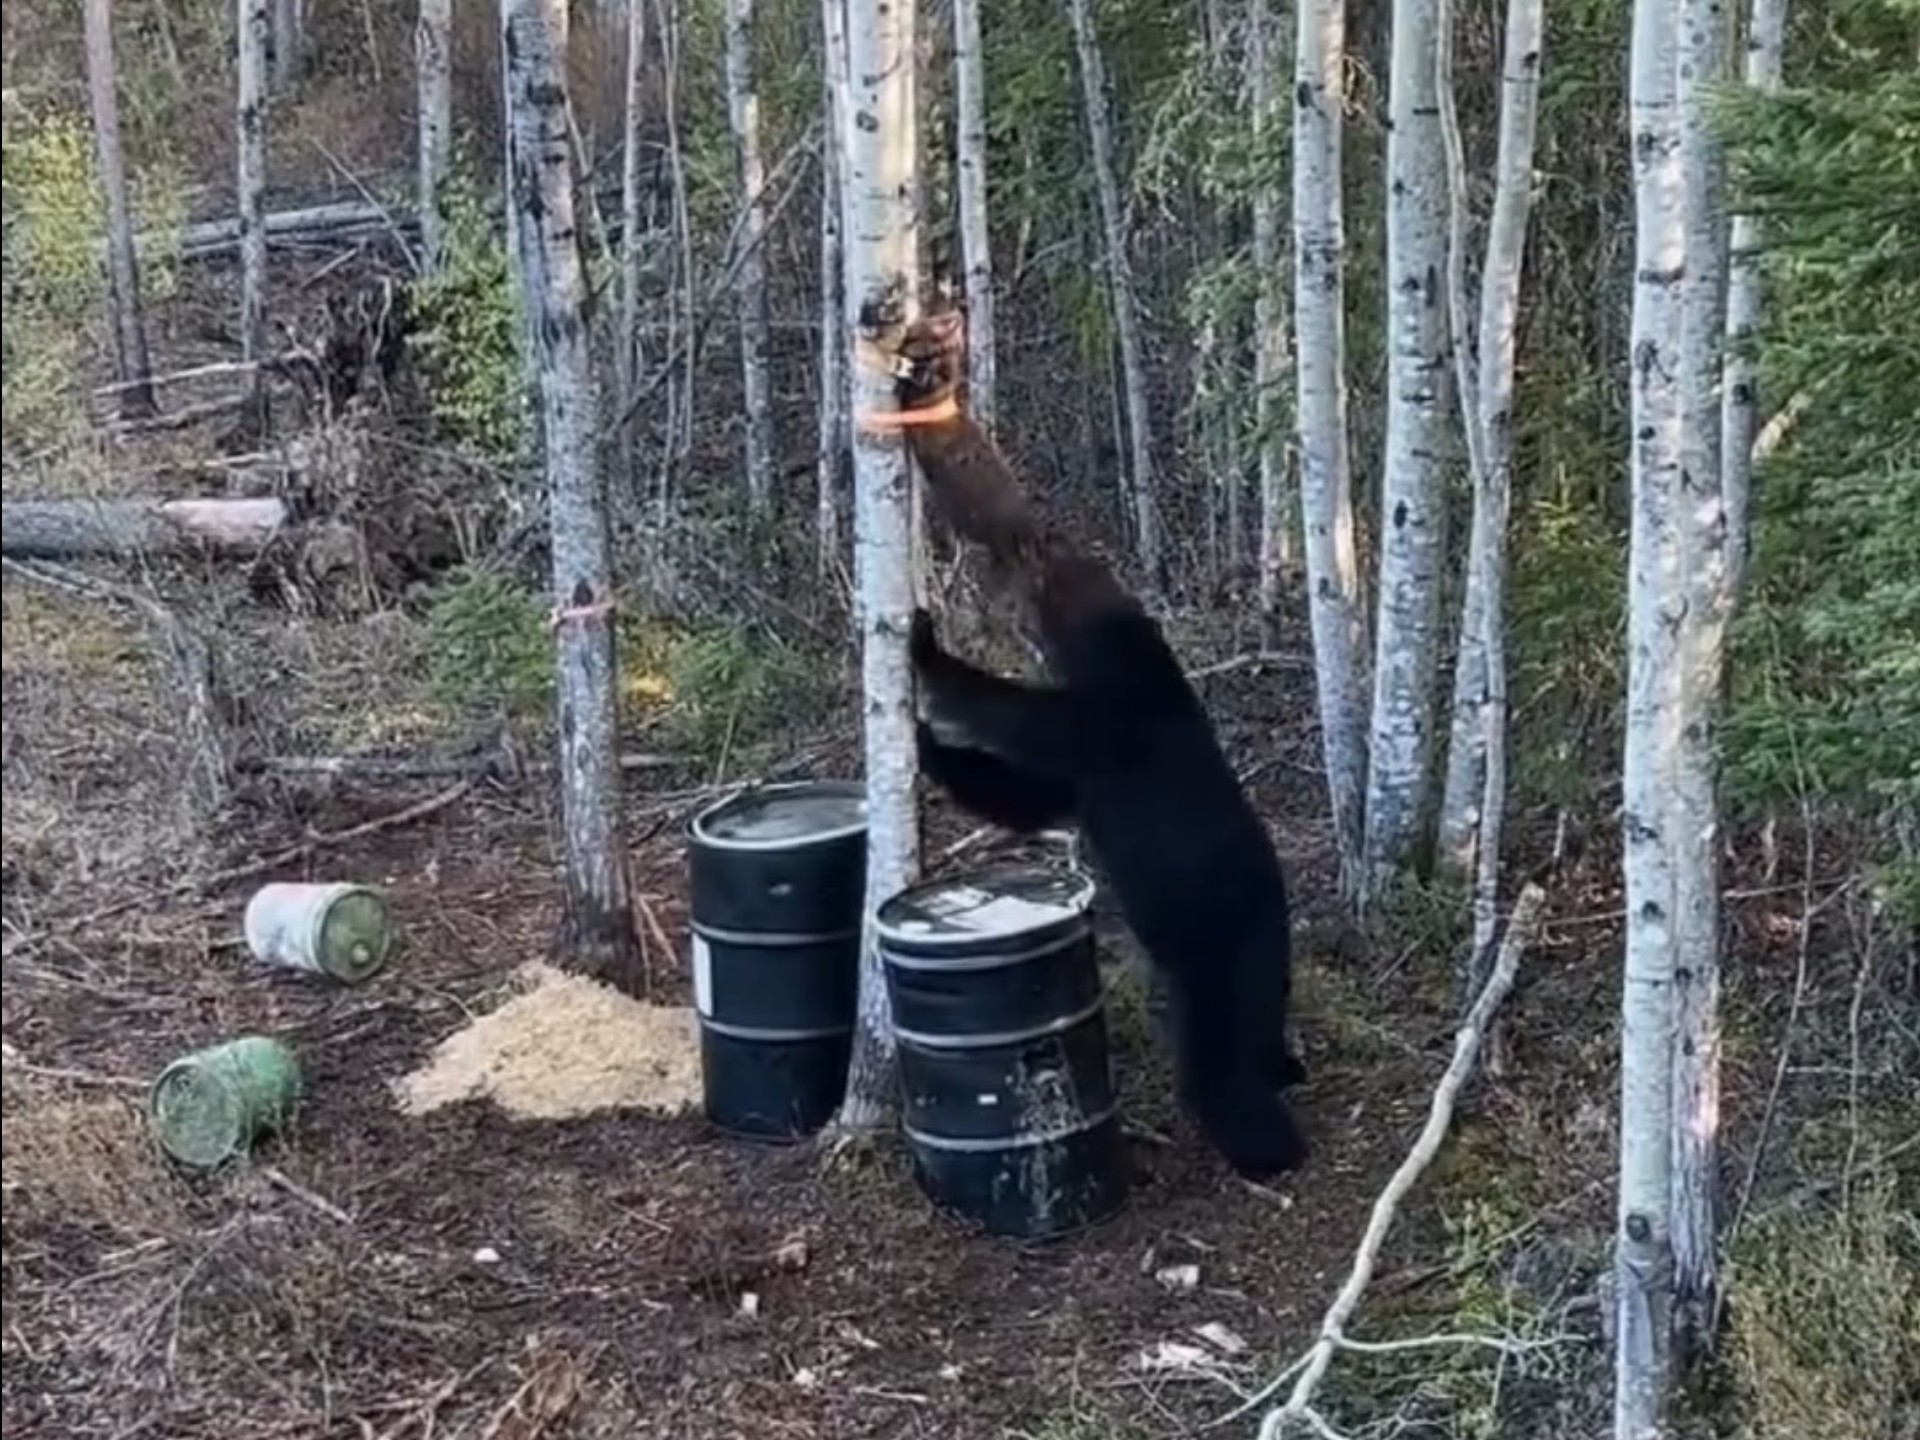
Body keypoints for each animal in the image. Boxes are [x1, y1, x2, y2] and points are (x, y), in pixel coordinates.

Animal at [885, 311, 1310, 1181]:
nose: (1026, 587)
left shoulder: (1101, 730)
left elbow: (1011, 718)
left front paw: (927, 655)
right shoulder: (1092, 757)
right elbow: (1023, 797)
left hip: (1221, 952)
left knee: (1221, 1067)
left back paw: (1264, 1139)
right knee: (1251, 1040)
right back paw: (1282, 1067)